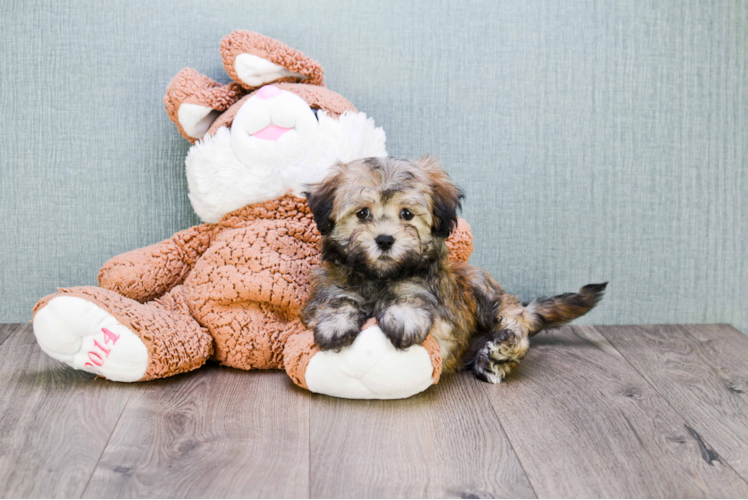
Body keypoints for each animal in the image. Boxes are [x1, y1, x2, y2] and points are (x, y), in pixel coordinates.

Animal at [300, 156, 604, 382]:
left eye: (406, 214)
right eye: (362, 213)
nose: (385, 240)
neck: (380, 277)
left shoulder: (443, 318)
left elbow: (415, 298)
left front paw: (404, 318)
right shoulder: (332, 286)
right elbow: (337, 300)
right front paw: (335, 324)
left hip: (482, 288)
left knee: (513, 319)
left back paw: (497, 355)